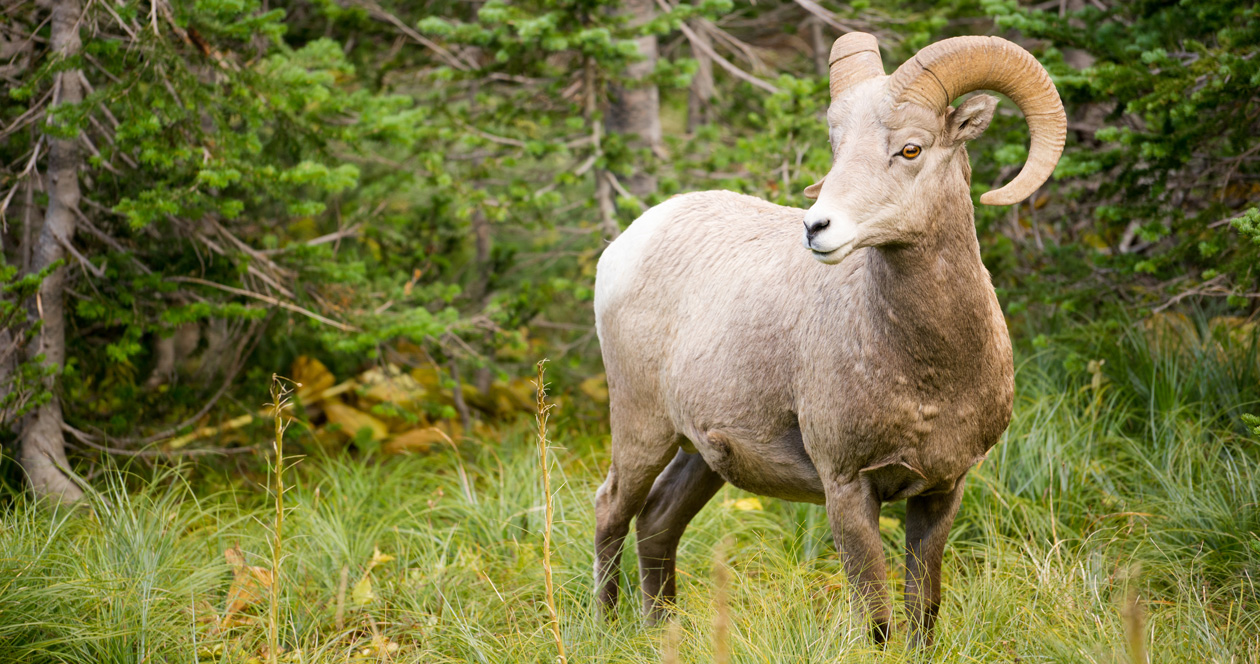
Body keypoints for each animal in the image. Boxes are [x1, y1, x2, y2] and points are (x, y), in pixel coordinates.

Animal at [589, 33, 1063, 645]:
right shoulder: (846, 487)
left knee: (657, 521)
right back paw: (606, 627)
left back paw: (660, 629)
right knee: (611, 509)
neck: (928, 377)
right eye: (838, 149)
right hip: (642, 429)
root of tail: (626, 243)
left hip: (701, 456)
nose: (817, 228)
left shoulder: (943, 490)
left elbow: (923, 610)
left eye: (911, 149)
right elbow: (876, 617)